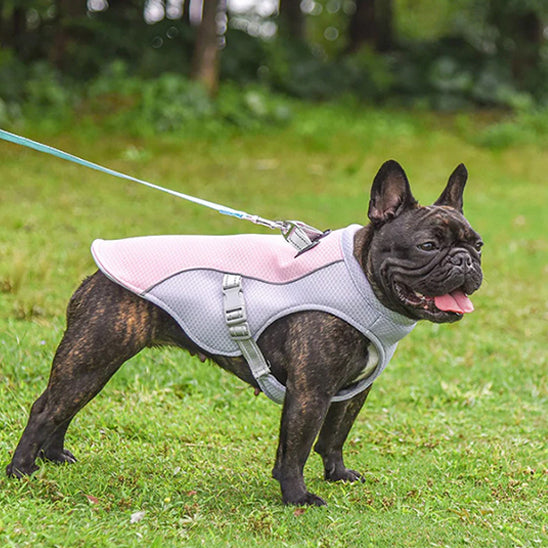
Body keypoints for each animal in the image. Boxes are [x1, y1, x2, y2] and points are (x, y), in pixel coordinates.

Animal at [5, 161, 484, 508]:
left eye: (478, 245)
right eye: (427, 246)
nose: (464, 260)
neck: (362, 279)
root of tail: (95, 271)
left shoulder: (351, 393)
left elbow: (333, 438)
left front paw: (338, 475)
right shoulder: (310, 391)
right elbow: (296, 447)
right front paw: (297, 497)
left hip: (95, 363)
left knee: (65, 408)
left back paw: (54, 456)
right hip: (93, 356)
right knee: (46, 408)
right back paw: (22, 471)